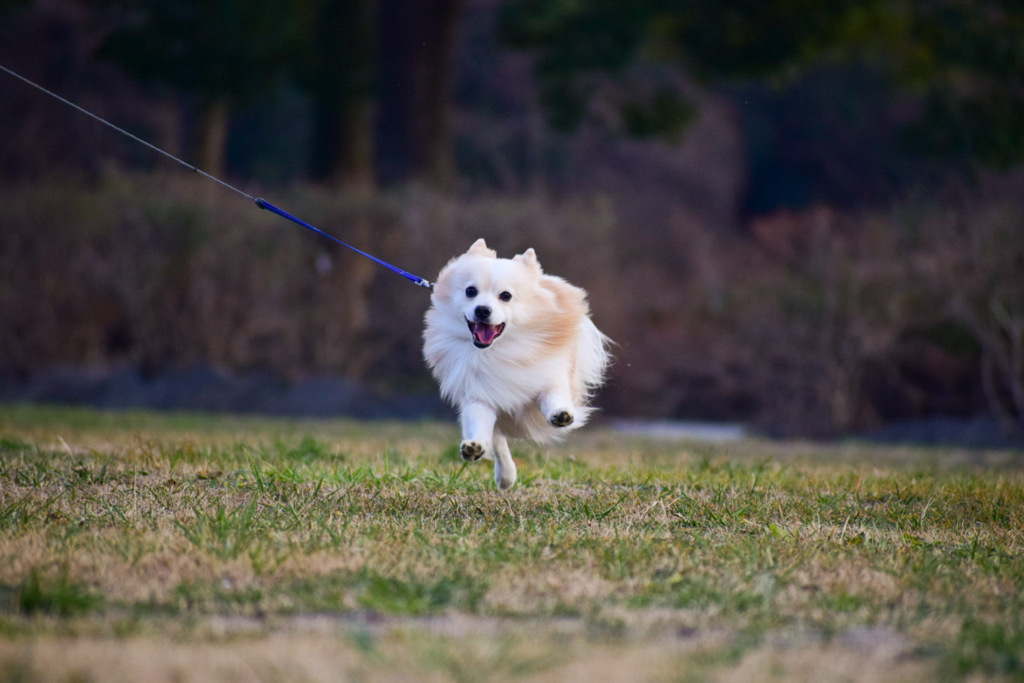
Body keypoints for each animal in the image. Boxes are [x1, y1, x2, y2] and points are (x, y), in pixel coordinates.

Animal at [421, 237, 610, 489]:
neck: (500, 350)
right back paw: (505, 476)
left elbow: (553, 396)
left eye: (506, 296)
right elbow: (479, 424)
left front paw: (560, 414)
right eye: (470, 291)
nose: (482, 309)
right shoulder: (479, 395)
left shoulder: (549, 375)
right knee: (498, 442)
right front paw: (474, 446)